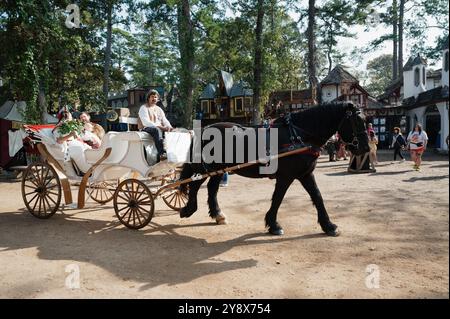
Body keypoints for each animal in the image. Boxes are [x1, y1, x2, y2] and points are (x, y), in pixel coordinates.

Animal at [178, 102, 368, 238]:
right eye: (356, 121)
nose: (365, 148)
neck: (298, 135)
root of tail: (203, 129)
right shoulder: (286, 176)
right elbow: (278, 198)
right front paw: (274, 225)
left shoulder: (305, 174)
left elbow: (317, 197)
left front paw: (328, 225)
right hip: (205, 167)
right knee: (195, 185)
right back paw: (188, 209)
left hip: (219, 169)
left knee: (211, 188)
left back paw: (218, 214)